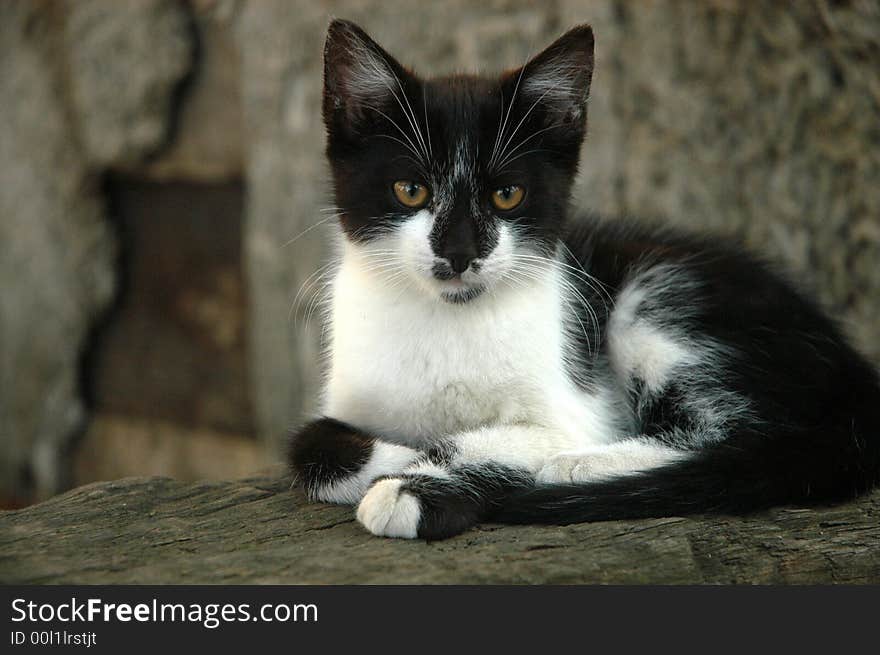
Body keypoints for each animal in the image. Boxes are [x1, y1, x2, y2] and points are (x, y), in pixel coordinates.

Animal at [288, 21, 880, 544]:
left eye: (508, 195)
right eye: (410, 190)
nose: (459, 253)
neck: (446, 317)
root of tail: (852, 369)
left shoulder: (575, 406)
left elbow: (514, 437)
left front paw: (417, 483)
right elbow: (308, 445)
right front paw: (400, 458)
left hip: (659, 295)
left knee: (749, 439)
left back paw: (578, 466)